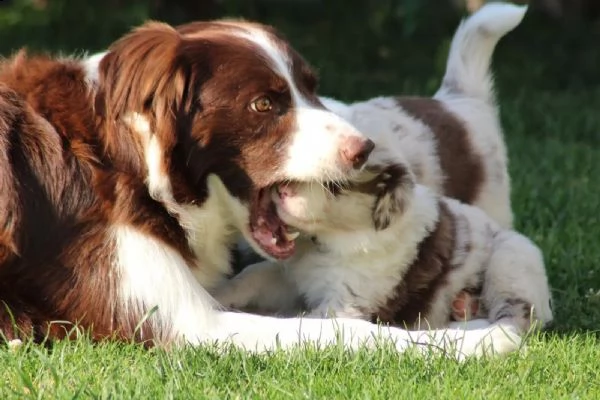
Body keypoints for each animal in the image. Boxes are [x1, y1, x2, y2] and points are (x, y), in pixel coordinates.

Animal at [0, 17, 516, 358]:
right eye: (263, 104)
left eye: (312, 88)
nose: (363, 149)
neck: (134, 163)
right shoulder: (178, 320)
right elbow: (348, 331)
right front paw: (485, 336)